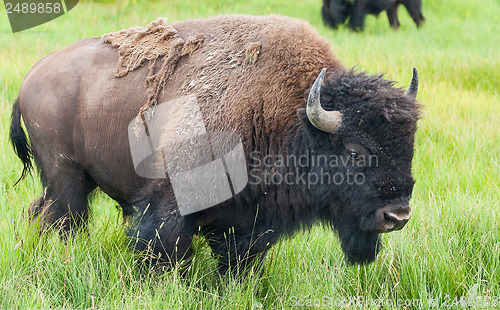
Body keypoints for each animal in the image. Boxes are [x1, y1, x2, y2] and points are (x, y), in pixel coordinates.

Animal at [9, 14, 420, 274]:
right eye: (354, 151)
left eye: (409, 147)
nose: (397, 216)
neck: (290, 117)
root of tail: (32, 75)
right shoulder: (170, 205)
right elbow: (165, 250)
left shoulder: (250, 221)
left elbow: (241, 260)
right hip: (67, 180)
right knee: (62, 219)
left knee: (41, 212)